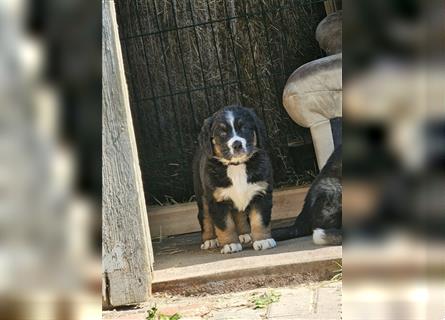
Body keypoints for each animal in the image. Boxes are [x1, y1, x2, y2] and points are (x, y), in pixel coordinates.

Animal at [193, 106, 276, 254]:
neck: (237, 166)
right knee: (205, 217)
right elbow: (225, 225)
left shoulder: (261, 192)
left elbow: (259, 220)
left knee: (239, 214)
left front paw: (263, 240)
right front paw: (230, 244)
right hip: (202, 195)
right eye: (223, 133)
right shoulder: (217, 199)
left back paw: (245, 234)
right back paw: (209, 240)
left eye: (244, 128)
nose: (237, 144)